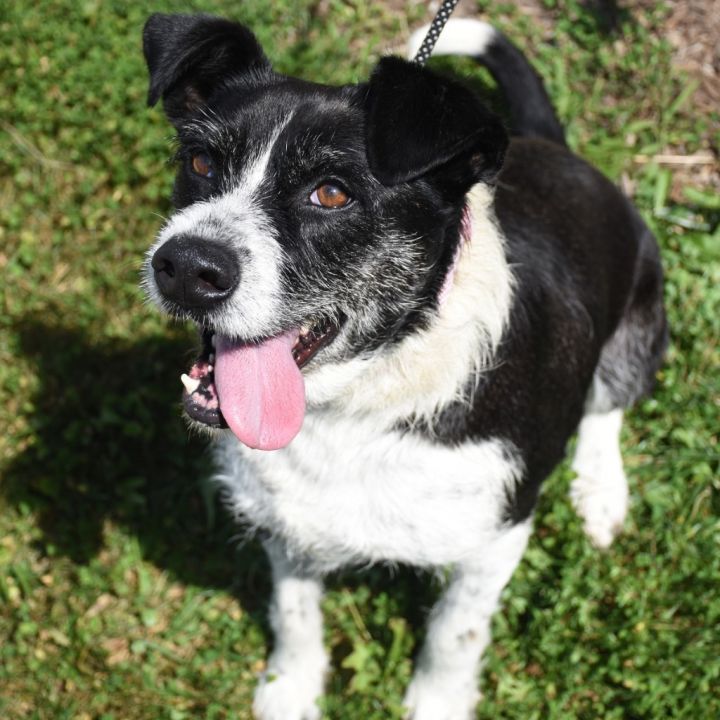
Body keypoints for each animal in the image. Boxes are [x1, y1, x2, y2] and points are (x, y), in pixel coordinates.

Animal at [142, 12, 668, 720]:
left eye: (331, 193)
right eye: (200, 161)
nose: (184, 267)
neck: (364, 398)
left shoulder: (498, 535)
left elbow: (453, 633)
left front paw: (436, 703)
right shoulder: (288, 520)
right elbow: (294, 609)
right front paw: (290, 689)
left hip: (641, 320)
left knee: (608, 405)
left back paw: (601, 491)